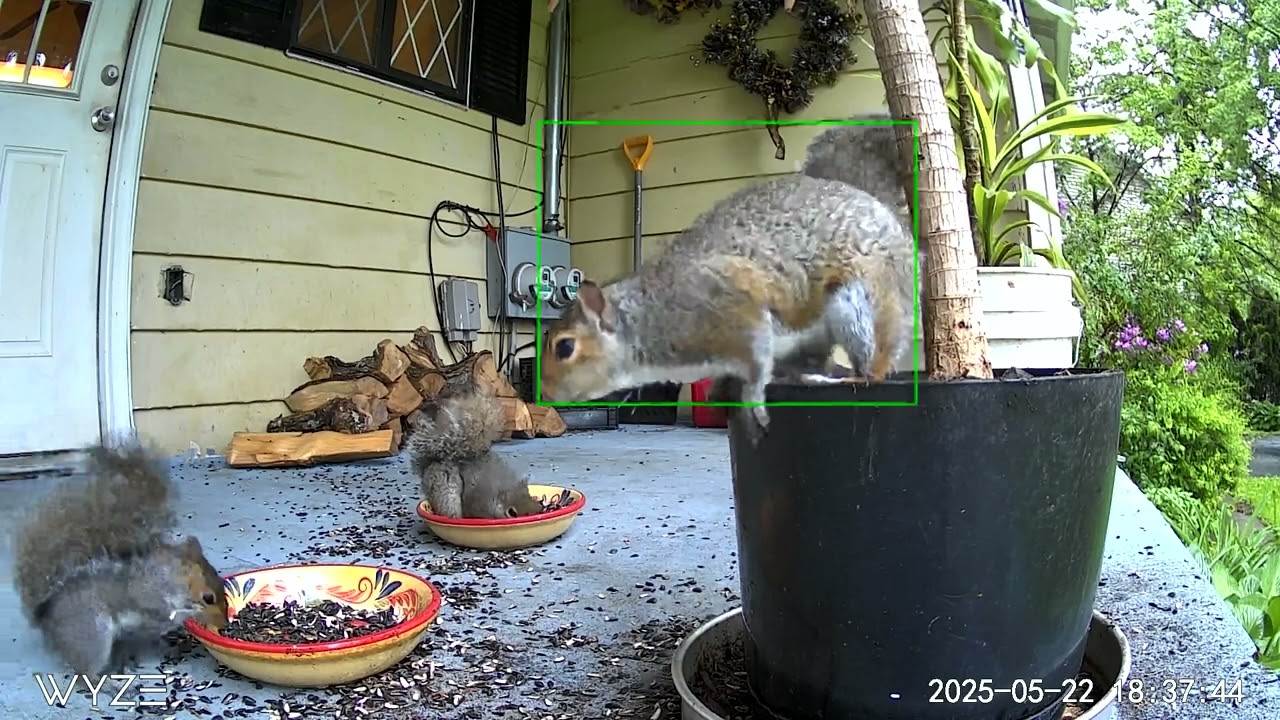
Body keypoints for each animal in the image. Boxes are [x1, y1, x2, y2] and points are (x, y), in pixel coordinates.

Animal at [13, 442, 229, 682]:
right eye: (208, 598)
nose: (224, 624)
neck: (169, 576)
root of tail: (46, 622)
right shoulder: (148, 597)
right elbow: (165, 614)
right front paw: (191, 612)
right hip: (92, 633)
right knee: (85, 675)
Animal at [537, 113, 919, 438]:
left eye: (565, 347)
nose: (545, 393)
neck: (651, 317)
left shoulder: (732, 305)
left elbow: (757, 359)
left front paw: (754, 403)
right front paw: (723, 390)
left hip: (861, 302)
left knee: (873, 363)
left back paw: (849, 377)